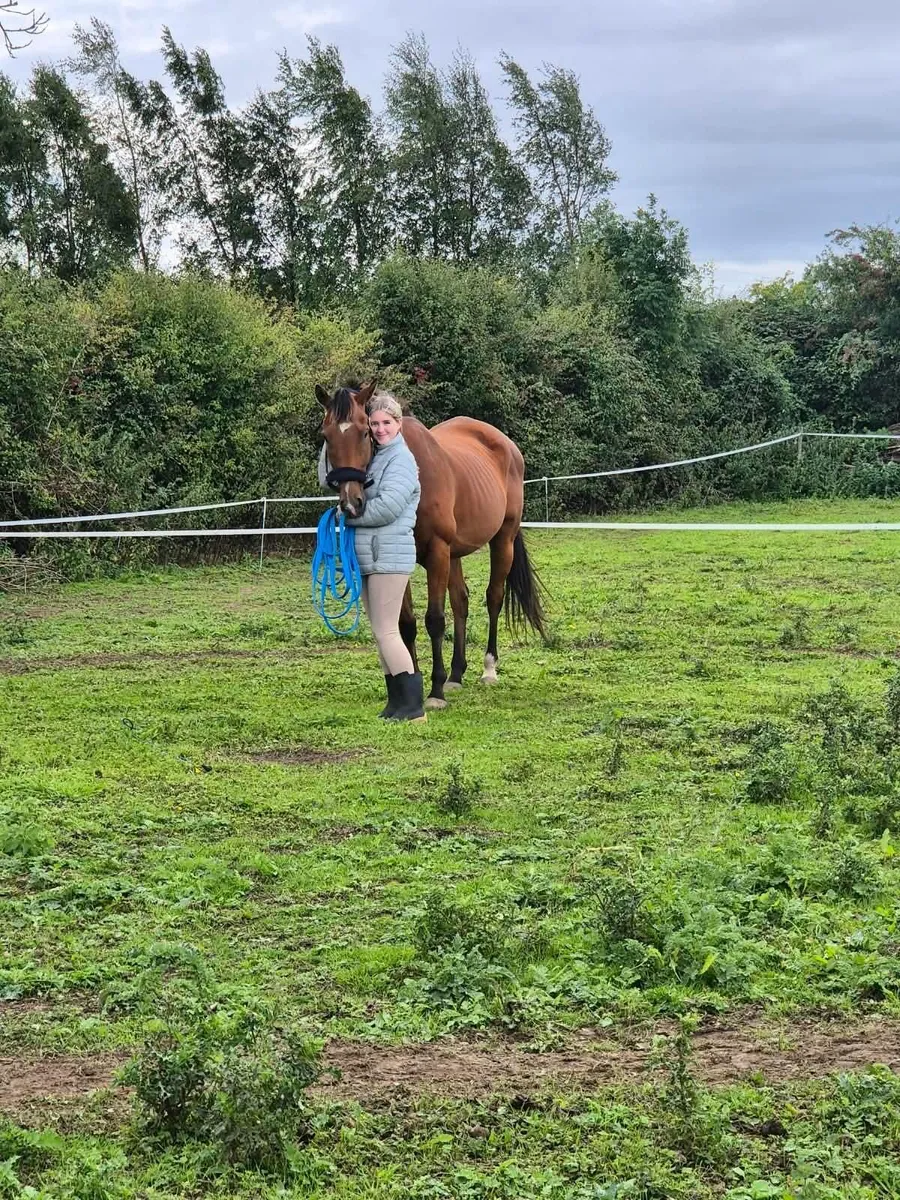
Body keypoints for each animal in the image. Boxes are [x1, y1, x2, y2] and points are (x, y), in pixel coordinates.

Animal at [315, 380, 547, 708]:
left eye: (364, 431)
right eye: (326, 435)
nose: (351, 503)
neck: (416, 475)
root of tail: (506, 444)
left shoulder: (437, 551)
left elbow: (435, 620)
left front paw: (435, 691)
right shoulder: (399, 557)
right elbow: (406, 624)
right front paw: (411, 686)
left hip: (502, 540)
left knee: (494, 598)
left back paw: (488, 669)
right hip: (455, 553)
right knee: (461, 601)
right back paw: (456, 674)